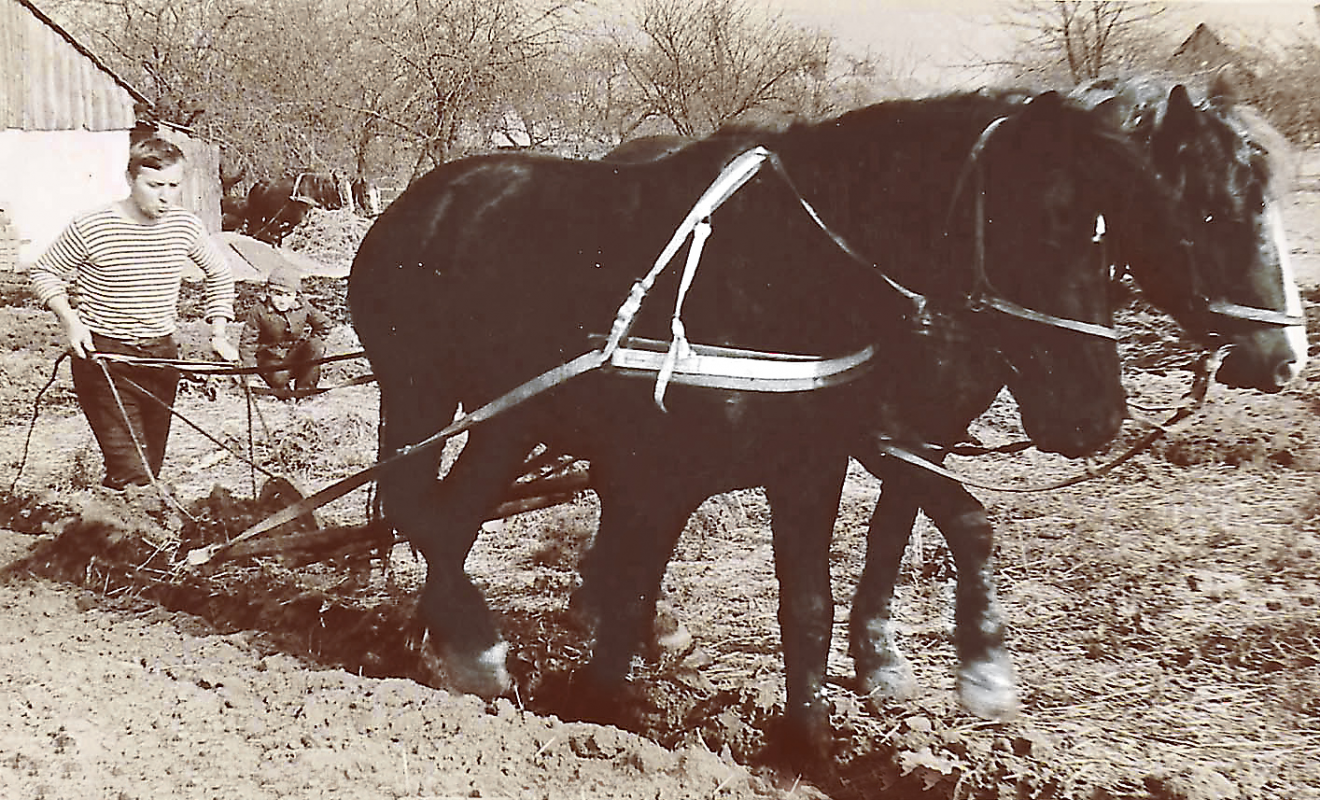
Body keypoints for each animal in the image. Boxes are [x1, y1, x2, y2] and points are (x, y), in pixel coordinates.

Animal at [348, 89, 1198, 760]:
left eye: (1115, 243)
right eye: (1049, 224)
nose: (1094, 415)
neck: (782, 275)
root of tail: (414, 206)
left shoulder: (811, 465)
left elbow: (810, 608)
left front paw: (811, 745)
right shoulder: (661, 473)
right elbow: (626, 594)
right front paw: (602, 715)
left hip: (508, 419)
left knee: (452, 517)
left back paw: (441, 646)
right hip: (424, 392)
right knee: (419, 509)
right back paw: (478, 651)